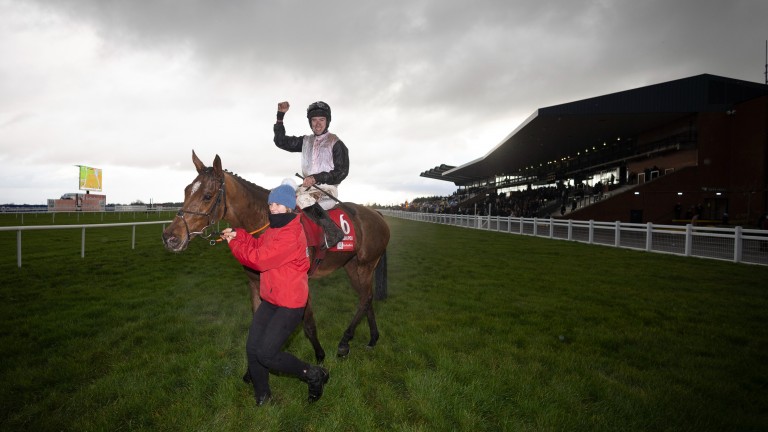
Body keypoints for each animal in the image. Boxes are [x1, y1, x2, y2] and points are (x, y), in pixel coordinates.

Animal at [162, 150, 390, 360]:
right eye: (185, 191)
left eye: (207, 195)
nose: (170, 237)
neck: (268, 223)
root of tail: (376, 214)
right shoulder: (255, 282)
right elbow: (257, 323)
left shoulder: (299, 283)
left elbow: (308, 324)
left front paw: (319, 357)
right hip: (352, 266)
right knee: (366, 298)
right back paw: (372, 338)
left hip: (366, 265)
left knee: (365, 298)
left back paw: (344, 342)